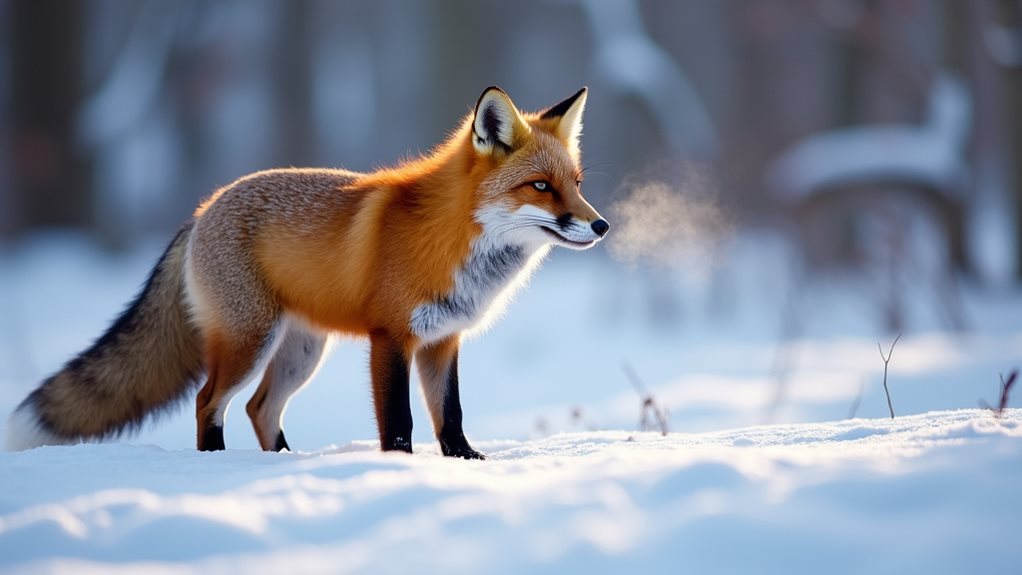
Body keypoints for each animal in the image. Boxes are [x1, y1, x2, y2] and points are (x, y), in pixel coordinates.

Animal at [6, 86, 609, 458]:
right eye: (540, 186)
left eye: (576, 183)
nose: (601, 225)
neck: (453, 240)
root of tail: (202, 210)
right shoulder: (390, 337)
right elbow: (401, 423)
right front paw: (400, 468)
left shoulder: (443, 340)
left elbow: (451, 417)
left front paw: (464, 464)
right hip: (250, 341)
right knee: (209, 402)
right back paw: (218, 463)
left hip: (300, 352)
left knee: (259, 407)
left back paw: (284, 463)